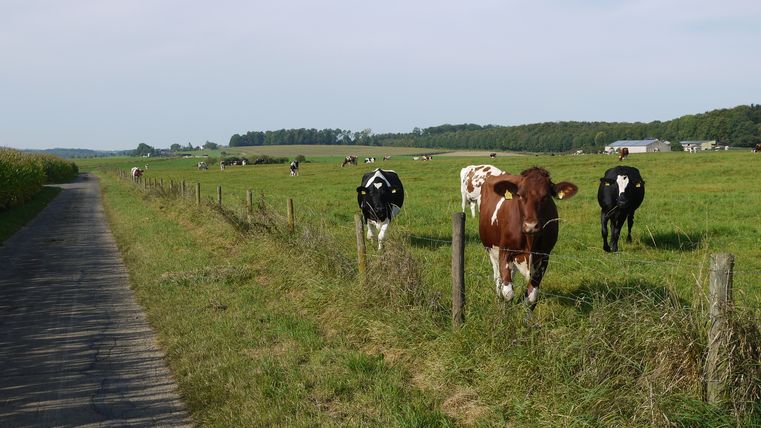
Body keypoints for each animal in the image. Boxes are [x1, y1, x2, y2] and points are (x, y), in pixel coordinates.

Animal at [479, 167, 578, 305]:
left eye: (546, 196)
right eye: (519, 195)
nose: (531, 226)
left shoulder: (544, 256)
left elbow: (532, 296)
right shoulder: (504, 251)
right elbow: (508, 292)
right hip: (491, 250)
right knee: (498, 278)